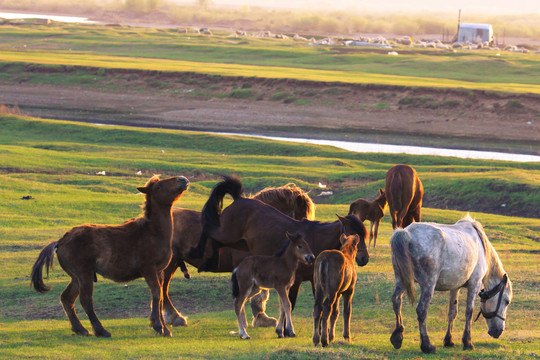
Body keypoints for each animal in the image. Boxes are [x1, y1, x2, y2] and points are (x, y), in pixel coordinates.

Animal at [30, 175, 190, 338]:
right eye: (158, 186)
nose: (182, 179)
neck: (152, 232)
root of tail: (60, 241)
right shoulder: (149, 270)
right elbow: (157, 294)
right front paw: (158, 326)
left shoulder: (159, 272)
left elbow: (160, 296)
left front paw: (164, 328)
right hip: (84, 275)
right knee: (85, 300)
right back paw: (101, 330)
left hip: (76, 277)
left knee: (67, 298)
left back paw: (80, 329)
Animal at [162, 183, 318, 326]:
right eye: (302, 217)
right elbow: (260, 291)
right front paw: (259, 315)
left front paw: (260, 315)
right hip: (170, 263)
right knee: (163, 288)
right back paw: (174, 317)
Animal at [188, 176, 370, 314]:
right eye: (353, 235)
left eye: (364, 235)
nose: (364, 259)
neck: (315, 239)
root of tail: (239, 199)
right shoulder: (296, 280)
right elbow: (290, 304)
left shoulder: (314, 281)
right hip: (227, 234)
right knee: (209, 232)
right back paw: (198, 254)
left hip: (239, 243)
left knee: (215, 241)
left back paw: (209, 261)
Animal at [390, 215, 512, 352]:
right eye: (507, 301)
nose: (498, 331)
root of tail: (407, 233)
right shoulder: (474, 284)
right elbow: (469, 312)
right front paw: (467, 342)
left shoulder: (455, 287)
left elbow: (452, 312)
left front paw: (449, 340)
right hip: (428, 285)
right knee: (421, 310)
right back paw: (426, 345)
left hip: (401, 280)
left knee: (396, 301)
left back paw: (398, 336)